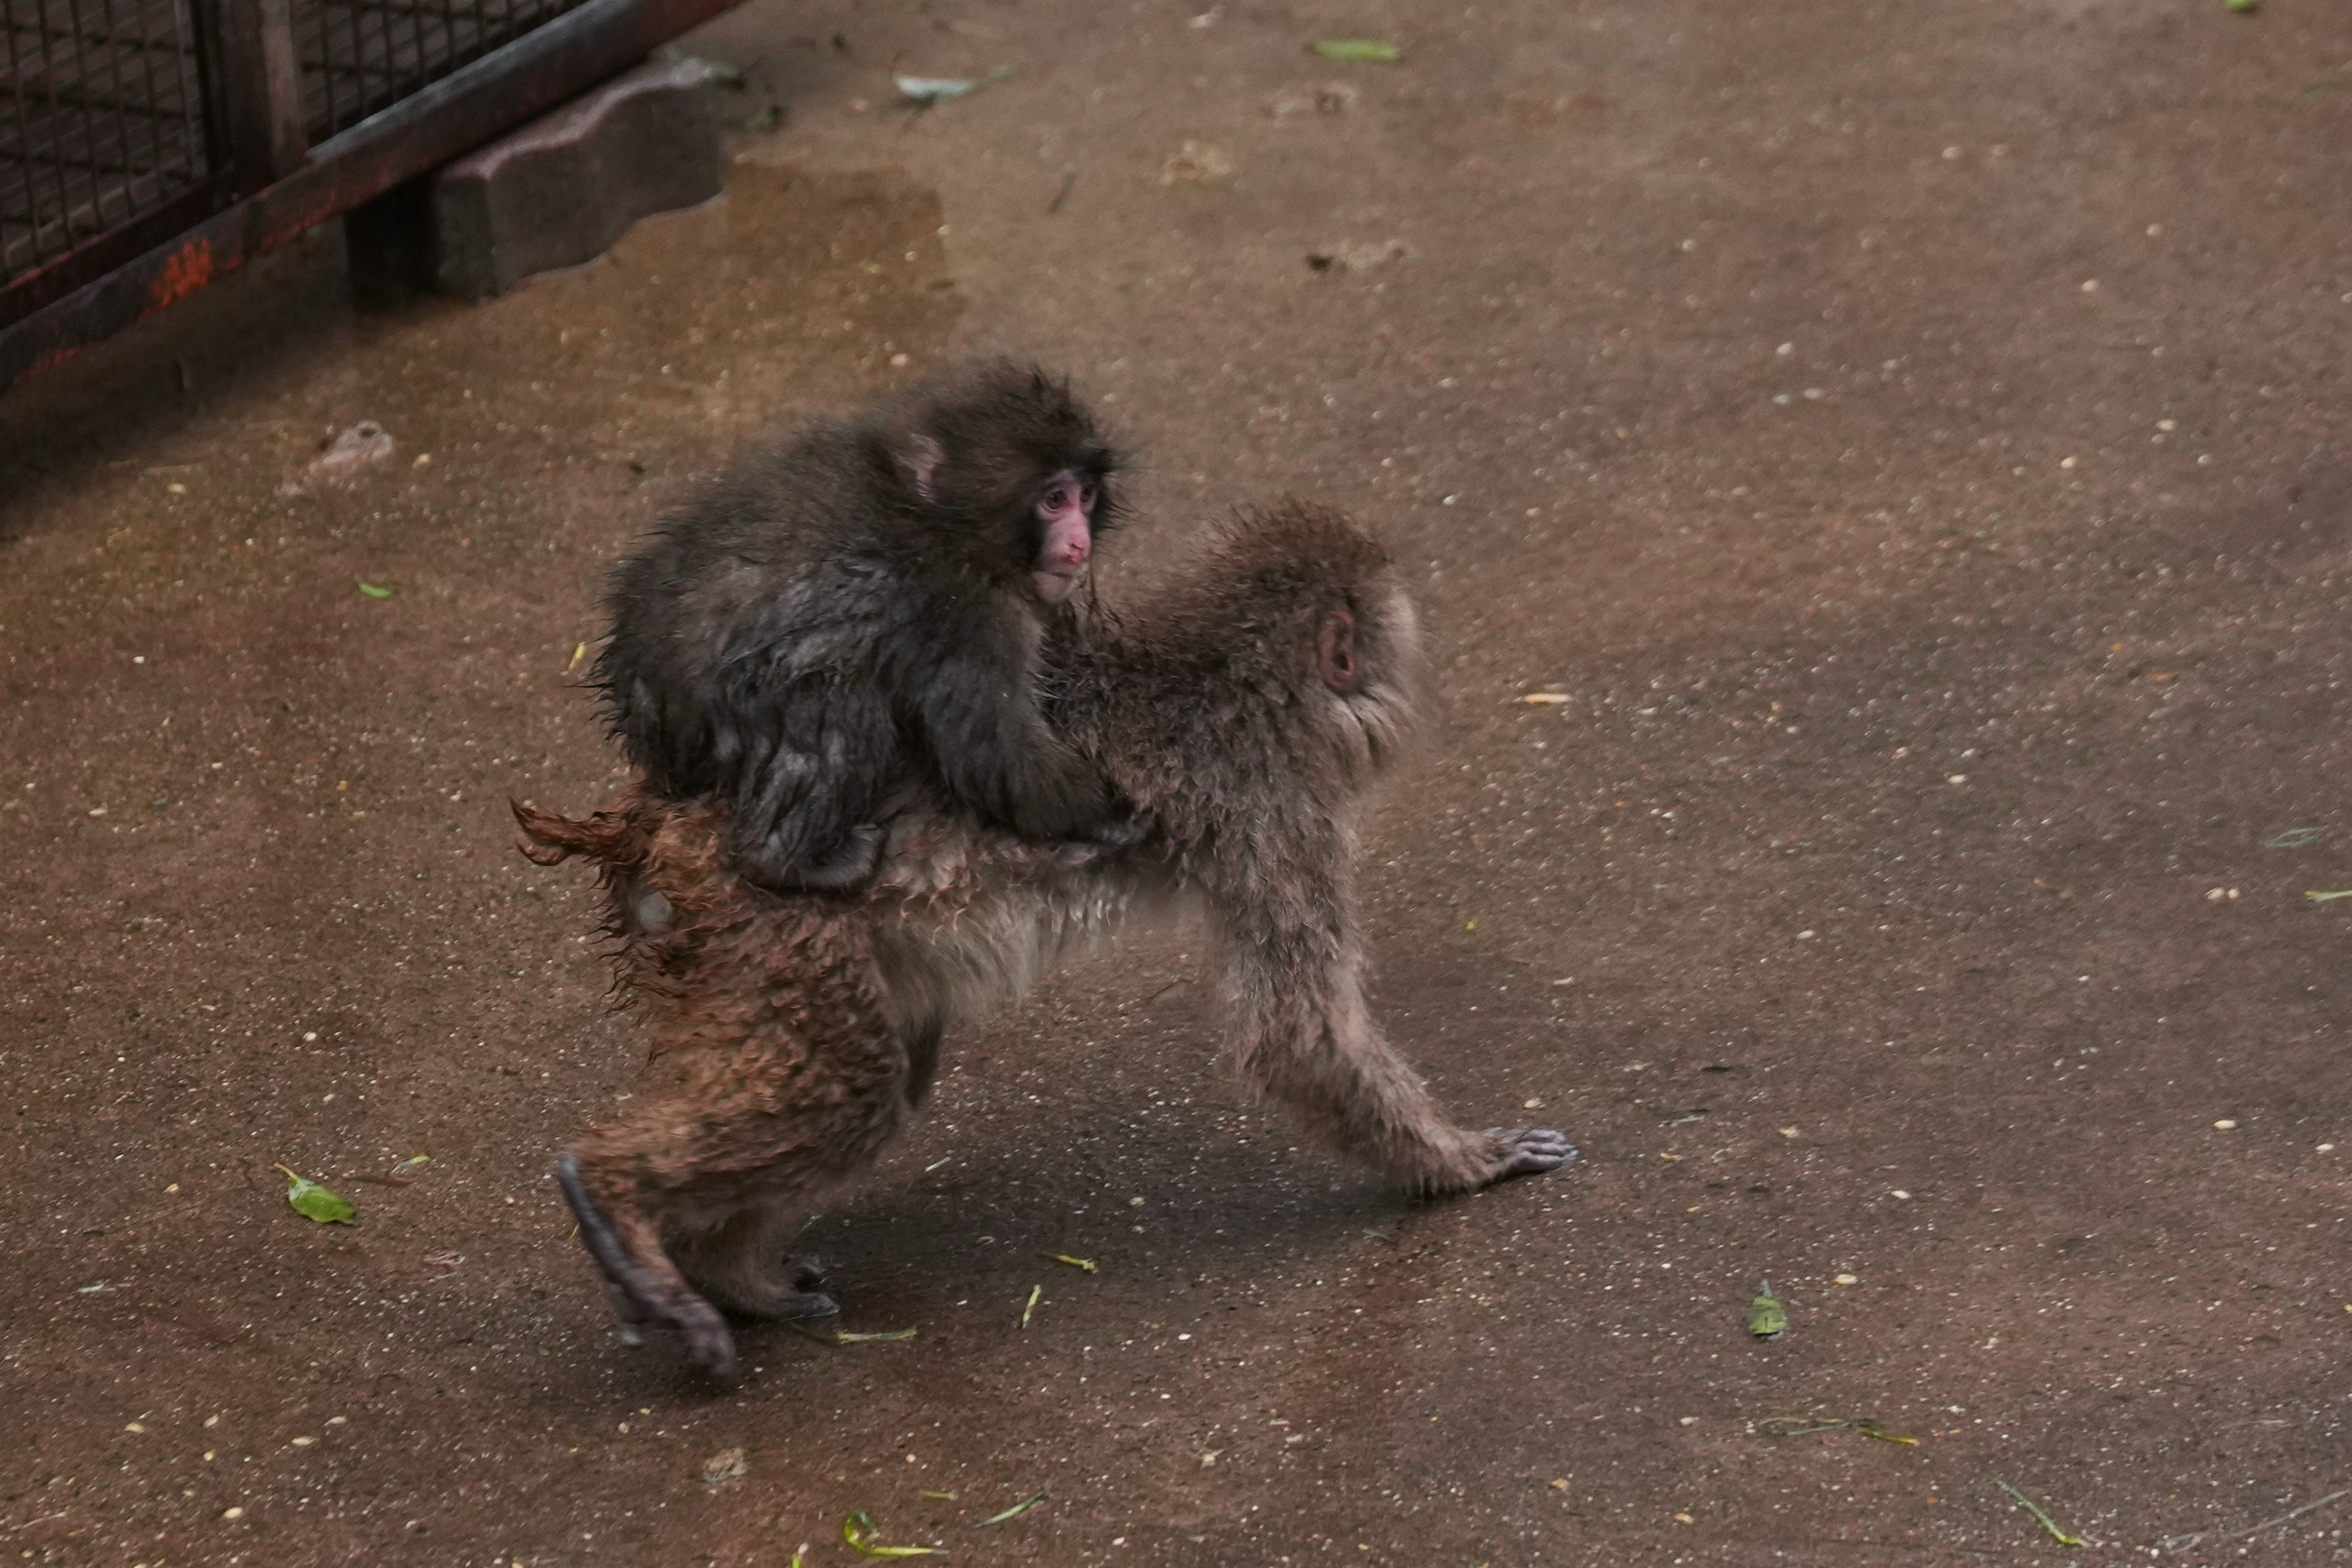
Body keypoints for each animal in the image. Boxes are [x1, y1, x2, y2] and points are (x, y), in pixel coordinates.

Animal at [519, 501, 1575, 1381]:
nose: (1407, 691)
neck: (1223, 678)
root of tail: (658, 822)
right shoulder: (1271, 806)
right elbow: (1301, 1038)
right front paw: (1461, 1161)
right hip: (762, 928)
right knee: (850, 1094)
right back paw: (619, 1198)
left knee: (882, 1074)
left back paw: (723, 1268)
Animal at [594, 360, 1130, 893]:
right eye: (1054, 500)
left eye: (1086, 496)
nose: (1078, 544)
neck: (942, 520)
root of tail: (639, 694)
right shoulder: (968, 610)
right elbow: (997, 750)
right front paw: (1111, 816)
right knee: (837, 700)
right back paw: (781, 860)